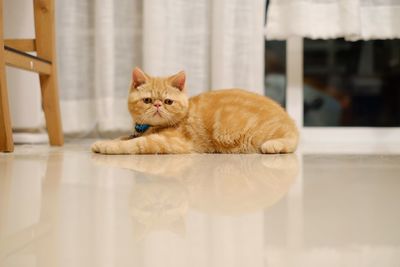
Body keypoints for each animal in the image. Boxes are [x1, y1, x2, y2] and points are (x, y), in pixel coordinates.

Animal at [90, 67, 296, 155]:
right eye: (147, 100)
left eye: (168, 101)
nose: (157, 105)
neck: (148, 128)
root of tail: (288, 118)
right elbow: (123, 137)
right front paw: (105, 141)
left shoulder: (171, 142)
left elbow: (135, 144)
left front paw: (108, 146)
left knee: (292, 141)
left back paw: (273, 145)